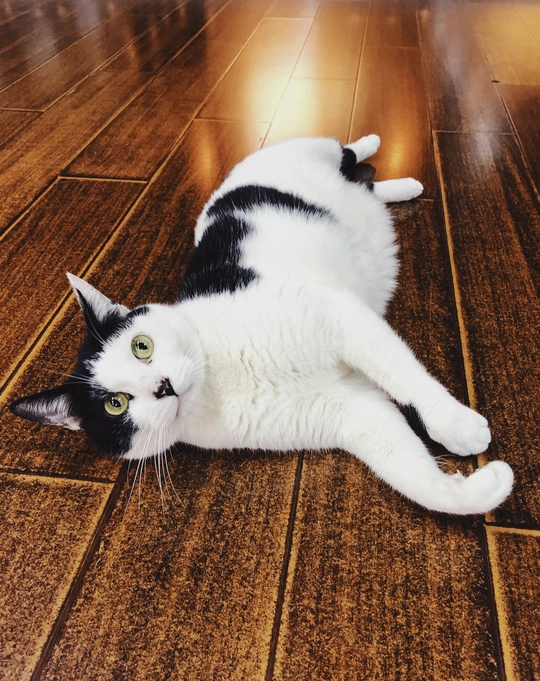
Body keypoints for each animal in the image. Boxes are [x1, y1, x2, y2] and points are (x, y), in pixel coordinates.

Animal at [10, 134, 513, 514]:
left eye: (142, 346)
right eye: (115, 404)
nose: (162, 386)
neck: (221, 380)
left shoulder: (340, 318)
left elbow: (410, 381)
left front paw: (457, 426)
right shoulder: (352, 411)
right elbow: (412, 476)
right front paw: (482, 488)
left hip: (308, 149)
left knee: (347, 152)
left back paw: (376, 152)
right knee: (367, 186)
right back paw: (402, 186)